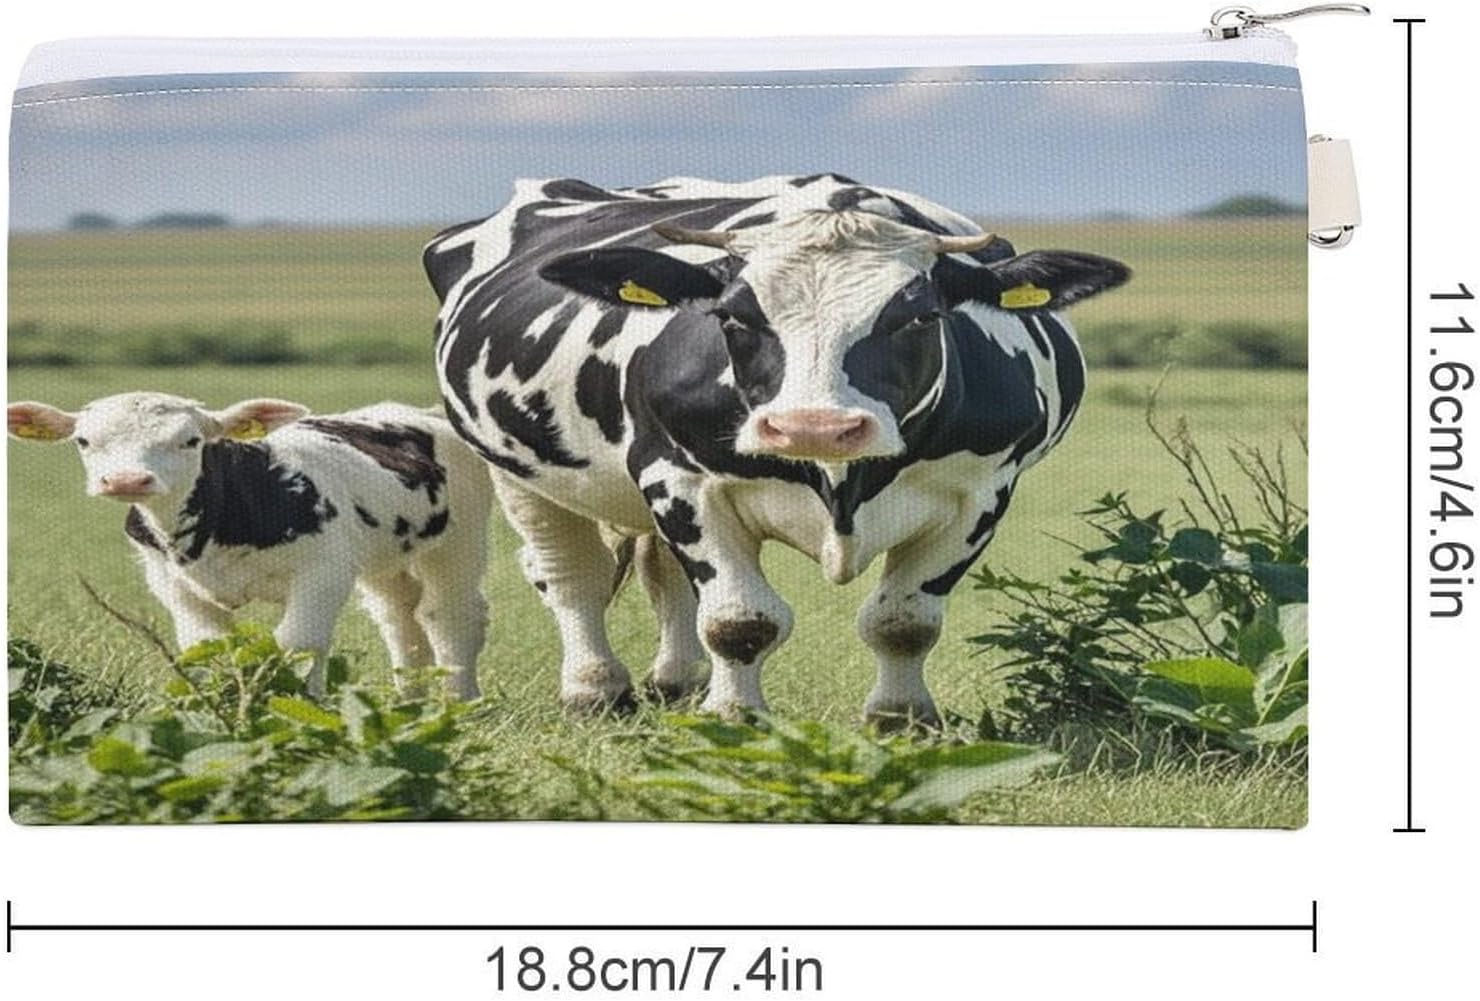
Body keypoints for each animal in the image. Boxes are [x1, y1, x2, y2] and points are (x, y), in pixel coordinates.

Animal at [7, 393, 492, 699]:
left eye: (190, 440)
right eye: (84, 441)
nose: (127, 480)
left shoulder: (324, 571)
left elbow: (299, 643)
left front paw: (299, 708)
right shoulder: (172, 584)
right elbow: (205, 647)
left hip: (458, 541)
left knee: (449, 614)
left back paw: (459, 701)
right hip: (384, 560)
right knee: (398, 618)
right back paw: (410, 700)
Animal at [424, 174, 1129, 727]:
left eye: (921, 316)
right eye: (733, 317)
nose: (813, 427)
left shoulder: (980, 492)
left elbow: (905, 621)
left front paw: (901, 717)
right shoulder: (681, 480)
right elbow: (739, 620)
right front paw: (735, 714)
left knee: (663, 575)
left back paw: (676, 683)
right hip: (516, 470)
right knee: (572, 576)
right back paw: (595, 688)